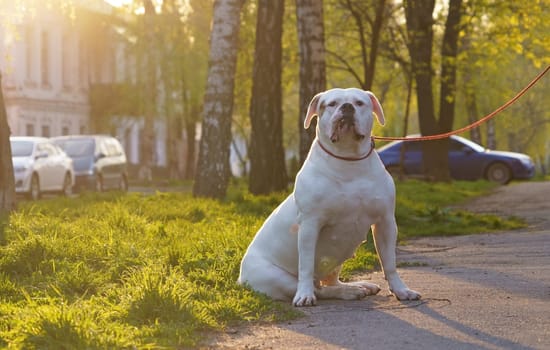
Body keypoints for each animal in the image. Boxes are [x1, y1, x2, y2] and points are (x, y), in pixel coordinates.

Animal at [237, 88, 422, 306]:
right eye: (332, 104)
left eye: (359, 103)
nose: (347, 107)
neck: (349, 160)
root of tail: (240, 277)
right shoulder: (310, 225)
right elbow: (306, 265)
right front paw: (305, 295)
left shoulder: (385, 222)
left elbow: (390, 262)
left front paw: (402, 290)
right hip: (275, 277)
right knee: (320, 289)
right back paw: (345, 292)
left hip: (336, 258)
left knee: (331, 281)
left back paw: (358, 286)